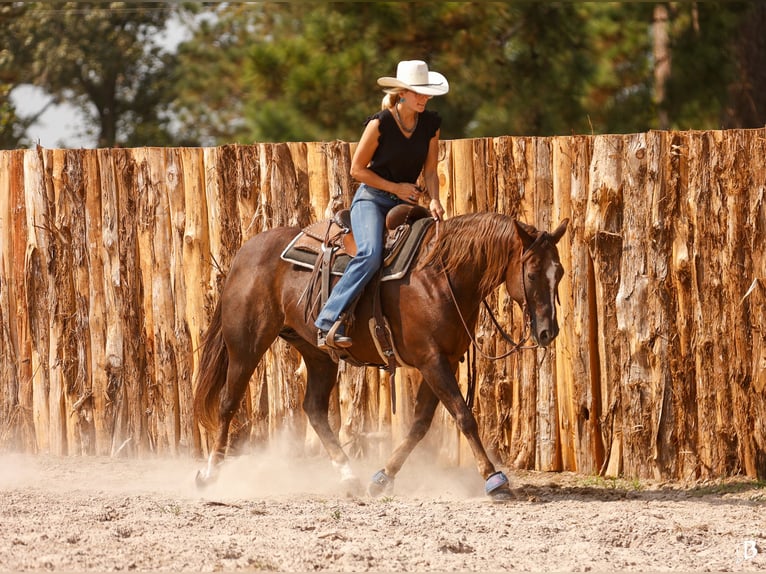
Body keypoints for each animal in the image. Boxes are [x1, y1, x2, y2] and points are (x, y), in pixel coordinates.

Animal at [193, 211, 569, 501]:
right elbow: (463, 416)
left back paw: (349, 477)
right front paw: (494, 479)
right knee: (228, 403)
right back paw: (209, 475)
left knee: (314, 408)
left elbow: (420, 424)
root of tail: (245, 252)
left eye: (560, 272)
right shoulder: (431, 360)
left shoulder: (442, 360)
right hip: (246, 345)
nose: (548, 332)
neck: (440, 275)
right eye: (532, 273)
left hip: (317, 354)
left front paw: (383, 477)